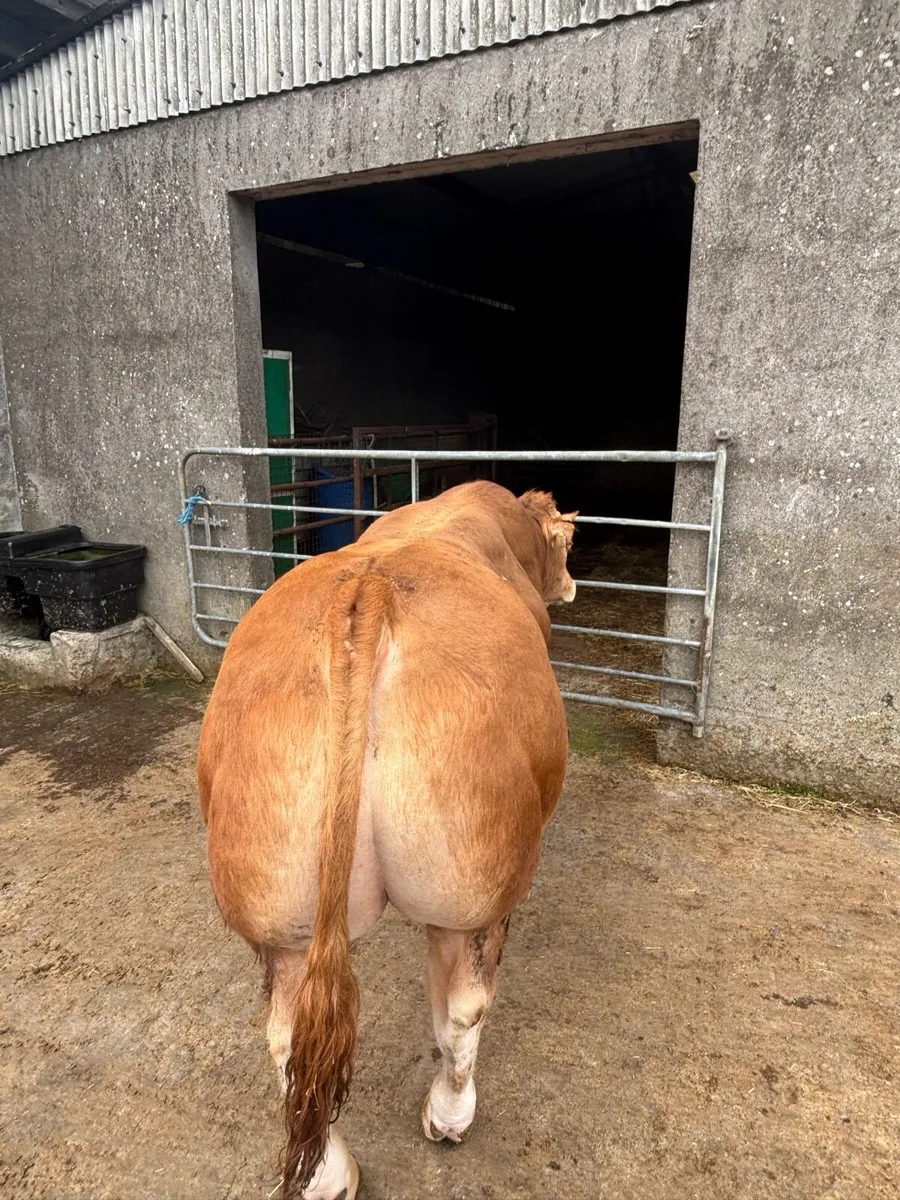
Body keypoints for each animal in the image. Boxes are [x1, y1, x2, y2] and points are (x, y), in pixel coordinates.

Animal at [198, 480, 577, 1199]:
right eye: (566, 546)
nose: (570, 585)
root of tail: (368, 590)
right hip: (474, 888)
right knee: (464, 1010)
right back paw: (450, 1116)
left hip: (278, 909)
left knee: (287, 1038)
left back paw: (327, 1176)